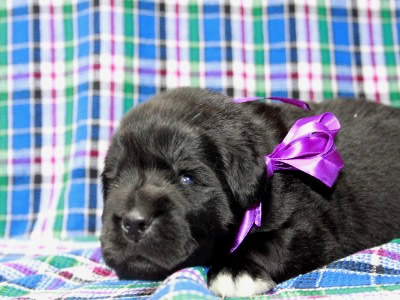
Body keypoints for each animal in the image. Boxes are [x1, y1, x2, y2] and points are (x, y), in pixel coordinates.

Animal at [101, 87, 400, 298]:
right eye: (115, 181)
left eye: (186, 178)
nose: (133, 223)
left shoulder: (312, 228)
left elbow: (273, 242)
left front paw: (235, 271)